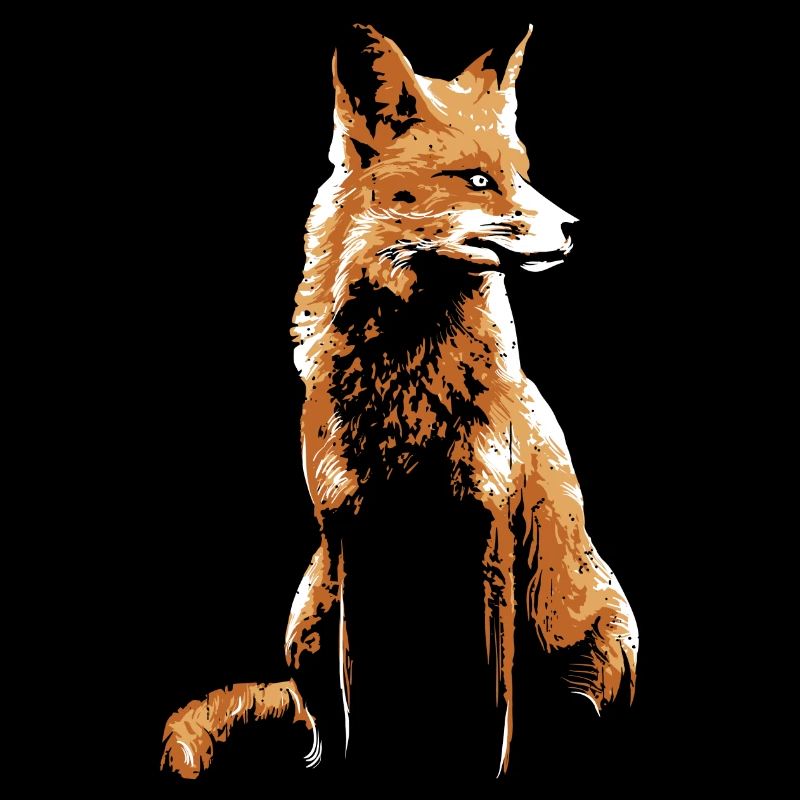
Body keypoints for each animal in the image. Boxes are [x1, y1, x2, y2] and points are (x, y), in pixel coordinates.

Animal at [161, 22, 638, 782]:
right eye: (478, 179)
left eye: (525, 172)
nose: (572, 228)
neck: (409, 383)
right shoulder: (351, 529)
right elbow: (359, 701)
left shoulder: (487, 523)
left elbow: (494, 708)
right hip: (310, 613)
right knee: (318, 720)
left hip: (599, 641)